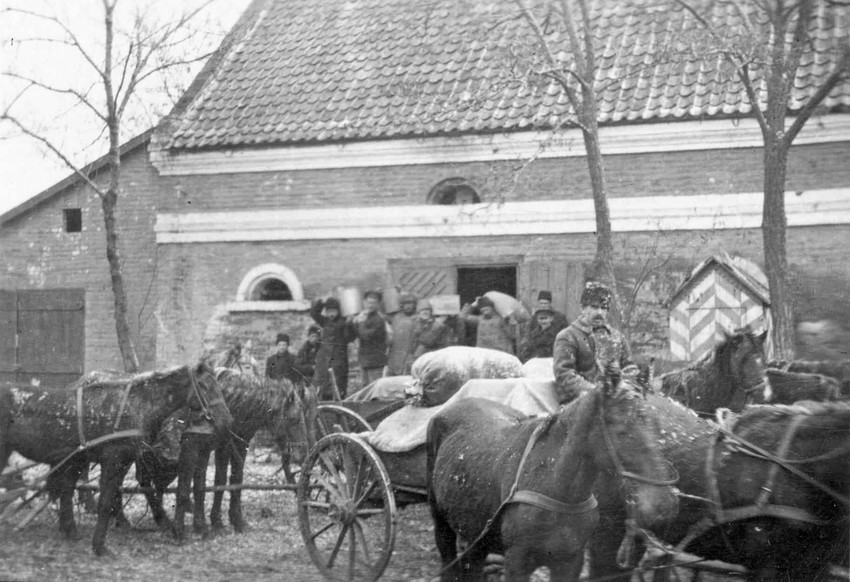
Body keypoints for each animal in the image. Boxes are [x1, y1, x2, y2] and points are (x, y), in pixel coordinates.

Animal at [0, 362, 230, 560]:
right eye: (204, 386)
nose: (225, 419)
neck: (135, 406)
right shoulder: (113, 460)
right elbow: (105, 502)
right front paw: (99, 547)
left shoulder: (123, 462)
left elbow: (111, 499)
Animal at [428, 364, 680, 580]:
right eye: (622, 430)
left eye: (657, 426)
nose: (664, 504)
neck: (555, 485)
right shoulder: (517, 562)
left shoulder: (569, 562)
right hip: (443, 525)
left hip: (475, 534)